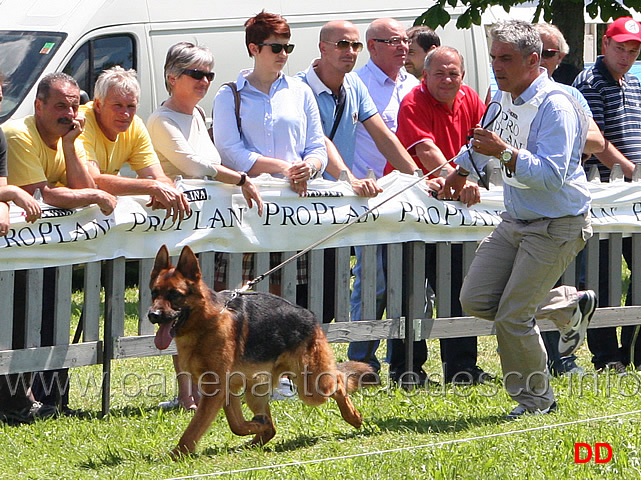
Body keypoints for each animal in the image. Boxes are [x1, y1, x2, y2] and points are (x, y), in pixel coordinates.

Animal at [147, 246, 372, 456]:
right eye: (154, 293)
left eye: (175, 294)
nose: (152, 315)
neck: (207, 321)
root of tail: (310, 315)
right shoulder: (226, 389)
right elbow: (237, 425)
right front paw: (256, 425)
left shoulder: (215, 390)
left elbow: (194, 429)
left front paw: (176, 455)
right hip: (255, 391)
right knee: (271, 428)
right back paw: (253, 441)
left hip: (313, 387)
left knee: (339, 382)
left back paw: (354, 417)